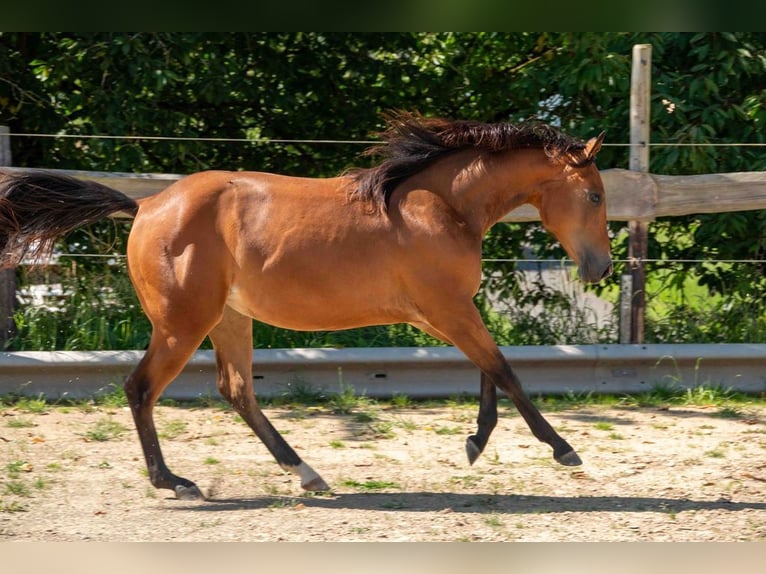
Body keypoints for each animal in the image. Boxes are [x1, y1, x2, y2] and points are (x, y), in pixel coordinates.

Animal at [0, 111, 612, 500]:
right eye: (595, 194)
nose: (601, 268)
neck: (442, 207)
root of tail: (146, 205)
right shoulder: (448, 310)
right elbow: (505, 370)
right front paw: (563, 450)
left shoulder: (450, 311)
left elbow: (490, 368)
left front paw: (474, 444)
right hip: (183, 323)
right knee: (141, 388)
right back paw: (174, 482)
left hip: (229, 318)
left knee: (237, 391)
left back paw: (307, 474)